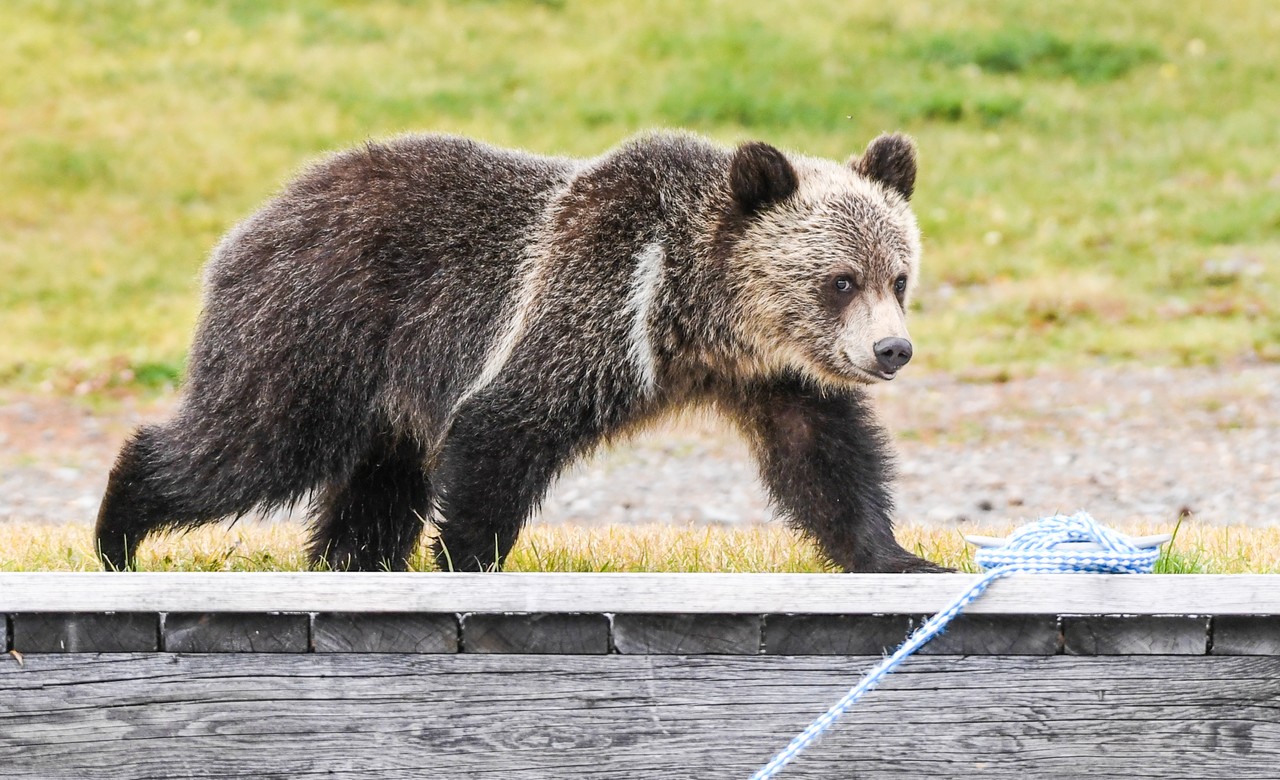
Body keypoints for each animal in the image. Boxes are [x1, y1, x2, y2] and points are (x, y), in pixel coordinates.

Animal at [95, 130, 944, 574]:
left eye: (898, 275)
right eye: (840, 279)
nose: (892, 350)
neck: (692, 317)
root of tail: (259, 217)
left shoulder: (775, 378)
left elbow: (824, 460)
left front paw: (899, 556)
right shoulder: (589, 306)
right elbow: (503, 428)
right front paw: (466, 558)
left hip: (381, 387)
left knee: (374, 485)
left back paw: (351, 561)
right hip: (319, 325)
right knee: (253, 443)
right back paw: (118, 531)